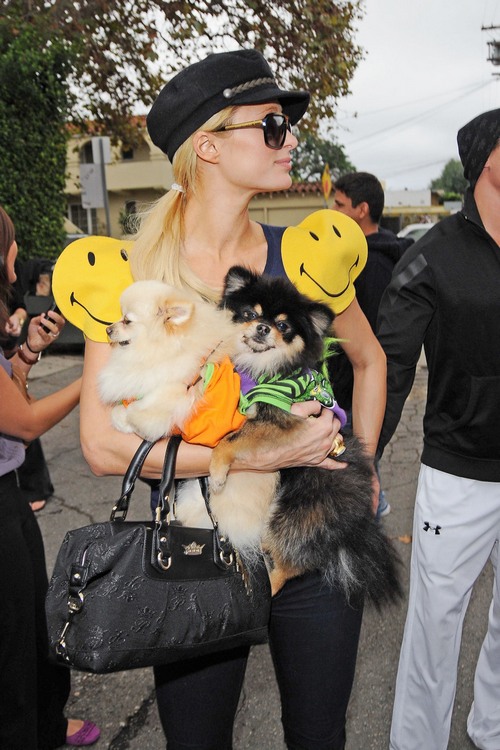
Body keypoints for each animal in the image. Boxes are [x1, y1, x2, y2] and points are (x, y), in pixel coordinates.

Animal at [197, 264, 400, 604]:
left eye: (283, 325)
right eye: (250, 313)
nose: (263, 328)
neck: (263, 369)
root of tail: (353, 528)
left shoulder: (282, 418)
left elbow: (232, 438)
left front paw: (218, 471)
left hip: (296, 514)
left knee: (293, 564)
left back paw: (270, 587)